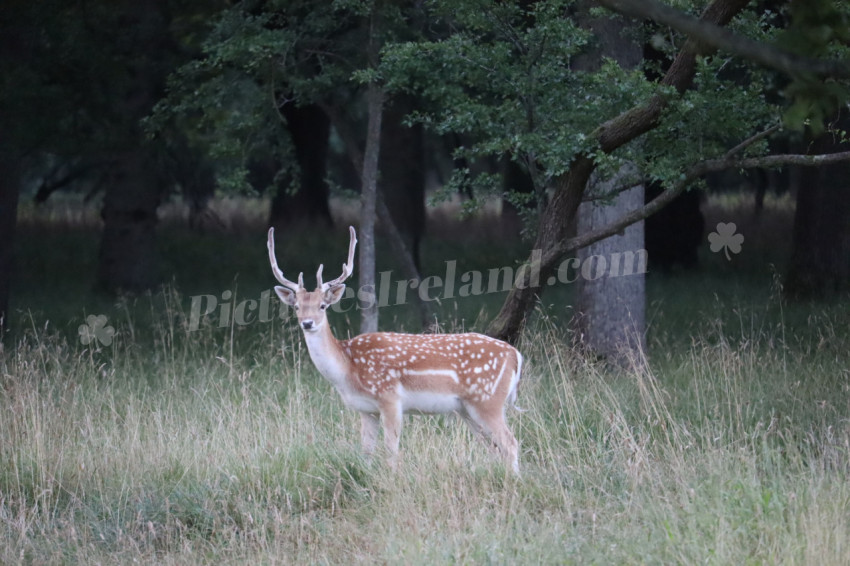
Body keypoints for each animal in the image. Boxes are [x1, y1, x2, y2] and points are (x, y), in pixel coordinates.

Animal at [268, 226, 520, 474]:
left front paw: (391, 479)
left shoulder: (390, 399)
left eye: (322, 305)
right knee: (494, 447)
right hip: (467, 408)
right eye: (296, 307)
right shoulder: (366, 410)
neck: (348, 369)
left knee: (510, 442)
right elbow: (366, 453)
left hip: (487, 400)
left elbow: (391, 451)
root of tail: (516, 356)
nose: (307, 323)